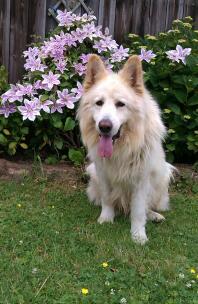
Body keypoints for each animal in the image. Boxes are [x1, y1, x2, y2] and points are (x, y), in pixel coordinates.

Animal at [77, 54, 173, 245]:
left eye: (120, 104)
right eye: (99, 103)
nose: (104, 126)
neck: (121, 148)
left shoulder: (141, 180)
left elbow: (138, 211)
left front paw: (138, 235)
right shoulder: (103, 172)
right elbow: (107, 199)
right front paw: (106, 219)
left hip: (163, 175)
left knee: (146, 207)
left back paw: (154, 215)